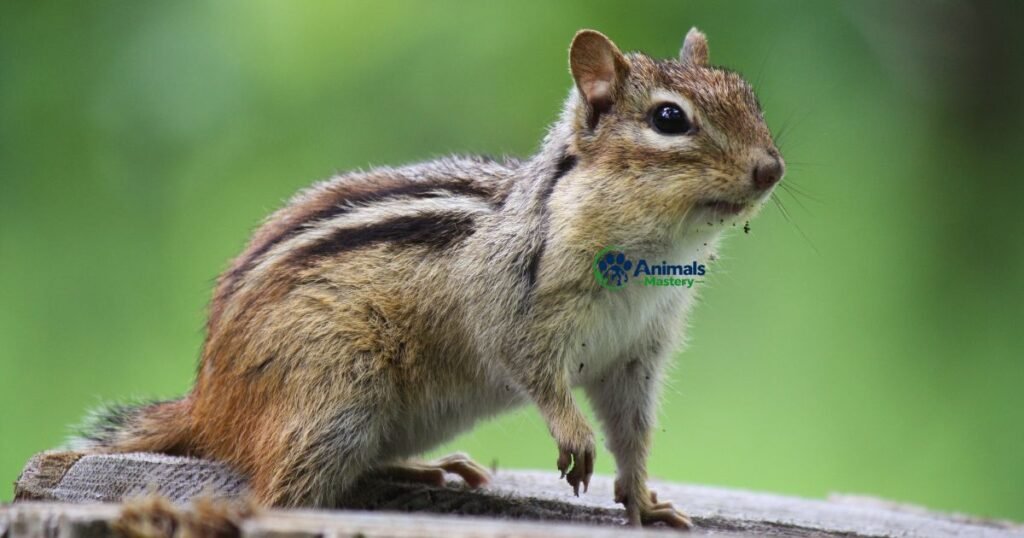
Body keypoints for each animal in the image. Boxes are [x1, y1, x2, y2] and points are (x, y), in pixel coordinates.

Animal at [72, 28, 783, 530]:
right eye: (669, 119)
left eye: (749, 98)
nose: (771, 169)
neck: (649, 254)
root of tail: (207, 403)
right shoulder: (512, 305)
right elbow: (531, 368)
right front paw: (574, 434)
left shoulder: (637, 355)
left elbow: (632, 433)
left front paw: (644, 500)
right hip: (334, 397)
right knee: (276, 494)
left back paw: (425, 470)